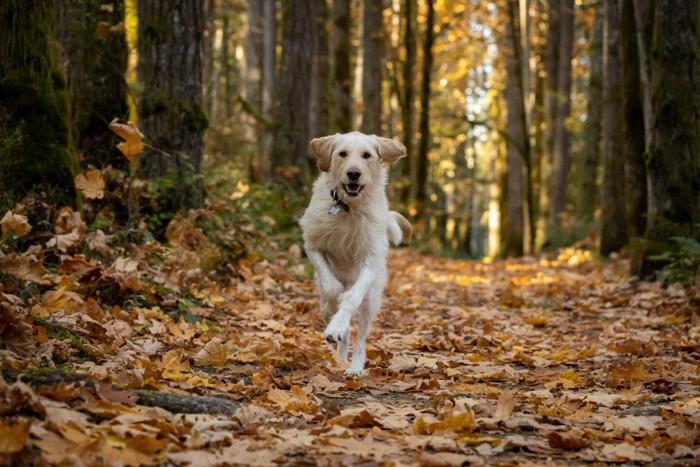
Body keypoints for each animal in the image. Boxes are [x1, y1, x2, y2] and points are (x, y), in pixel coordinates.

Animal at [300, 132, 410, 376]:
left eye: (366, 155)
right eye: (342, 154)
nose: (353, 173)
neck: (348, 208)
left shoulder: (370, 260)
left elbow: (351, 298)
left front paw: (337, 325)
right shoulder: (313, 245)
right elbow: (333, 288)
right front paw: (335, 316)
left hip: (372, 299)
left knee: (360, 335)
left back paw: (354, 366)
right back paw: (339, 354)